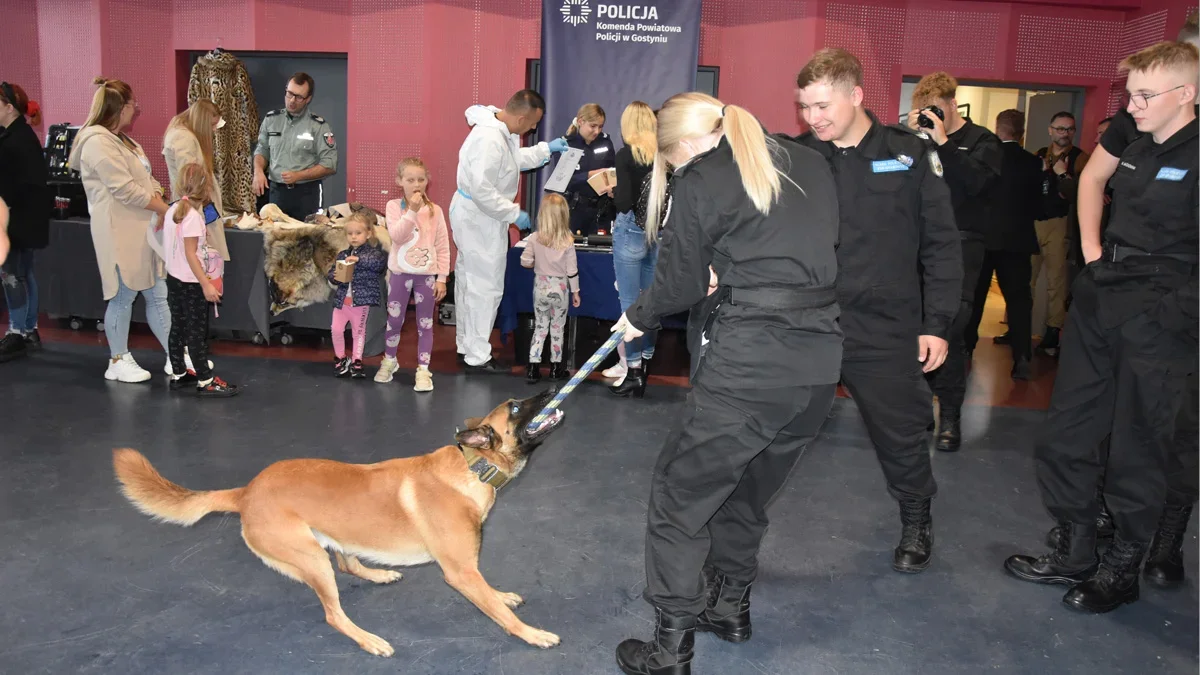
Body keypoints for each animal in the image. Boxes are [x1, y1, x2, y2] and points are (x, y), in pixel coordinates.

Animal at [112, 389, 561, 658]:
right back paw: (368, 639)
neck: (473, 467)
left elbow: (492, 595)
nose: (550, 388)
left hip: (329, 543)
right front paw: (532, 633)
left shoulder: (470, 570)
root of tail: (245, 492)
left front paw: (502, 595)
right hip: (311, 559)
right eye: (516, 407)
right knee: (334, 613)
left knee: (347, 563)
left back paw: (378, 574)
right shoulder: (461, 573)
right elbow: (498, 612)